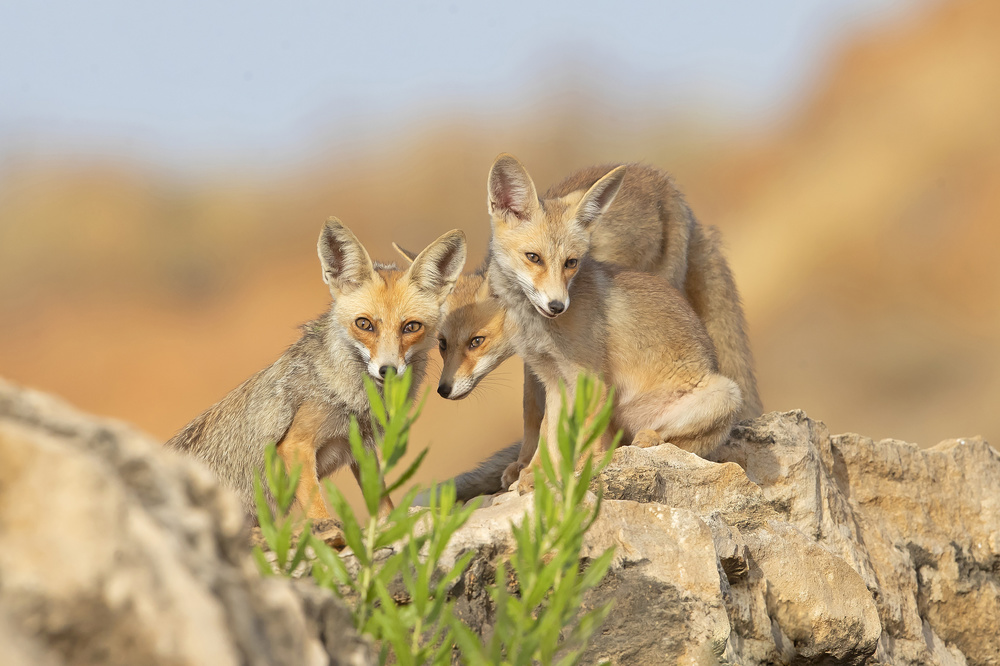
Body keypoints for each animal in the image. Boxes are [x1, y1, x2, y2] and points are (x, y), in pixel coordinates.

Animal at [166, 218, 466, 520]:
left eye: (411, 327)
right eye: (364, 324)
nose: (387, 370)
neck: (354, 400)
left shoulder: (363, 448)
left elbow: (383, 506)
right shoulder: (296, 445)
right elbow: (319, 512)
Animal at [398, 158, 756, 496]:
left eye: (476, 341)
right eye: (442, 344)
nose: (444, 389)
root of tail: (660, 177)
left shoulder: (590, 377)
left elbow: (574, 429)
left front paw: (567, 470)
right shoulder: (544, 369)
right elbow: (537, 417)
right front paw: (530, 469)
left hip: (718, 382)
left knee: (680, 442)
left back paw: (646, 440)